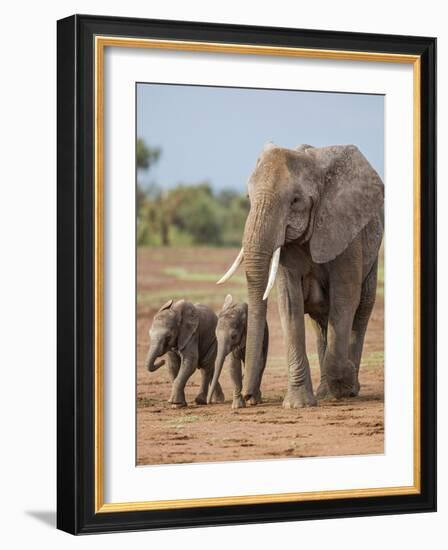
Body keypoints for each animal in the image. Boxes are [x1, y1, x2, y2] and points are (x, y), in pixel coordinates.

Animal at [217, 144, 382, 408]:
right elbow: (289, 303)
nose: (249, 397)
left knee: (361, 308)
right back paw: (326, 392)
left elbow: (345, 298)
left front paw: (345, 380)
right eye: (248, 198)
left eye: (295, 201)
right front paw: (298, 405)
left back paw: (347, 386)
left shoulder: (345, 232)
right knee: (321, 320)